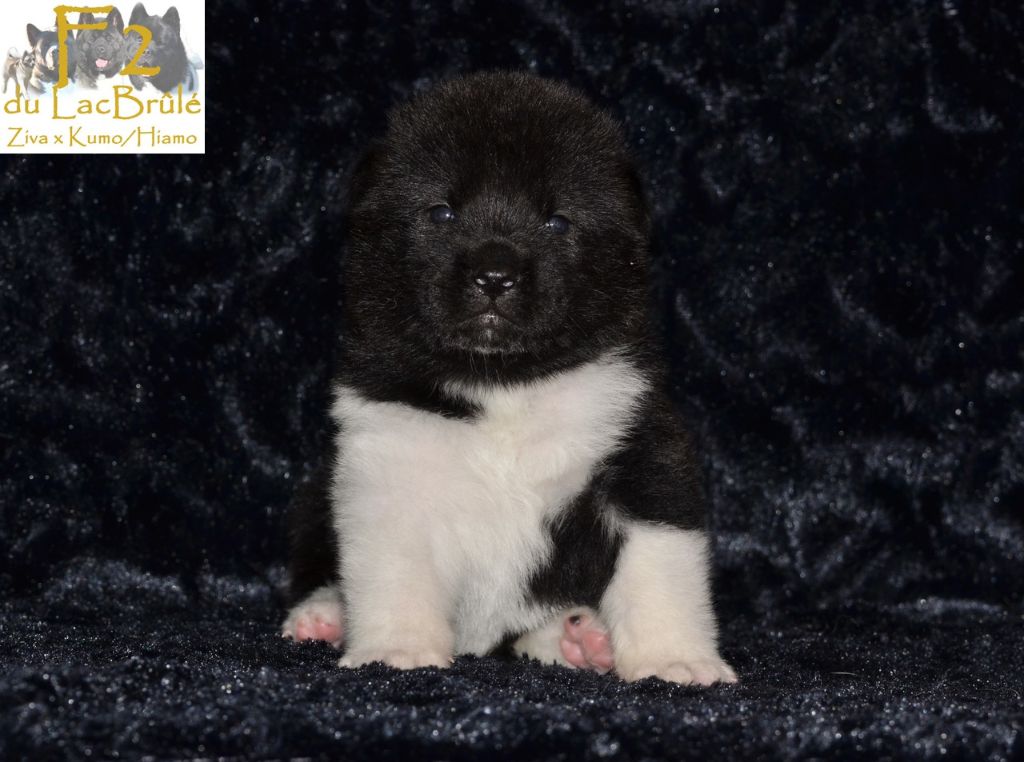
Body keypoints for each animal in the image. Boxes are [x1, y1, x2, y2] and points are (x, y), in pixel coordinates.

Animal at [280, 72, 737, 686]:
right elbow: (394, 574)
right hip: (315, 497)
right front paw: (398, 650)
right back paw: (323, 615)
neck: (503, 384)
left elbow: (659, 572)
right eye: (441, 213)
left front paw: (675, 661)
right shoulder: (385, 468)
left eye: (557, 221)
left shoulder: (643, 459)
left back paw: (581, 639)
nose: (494, 275)